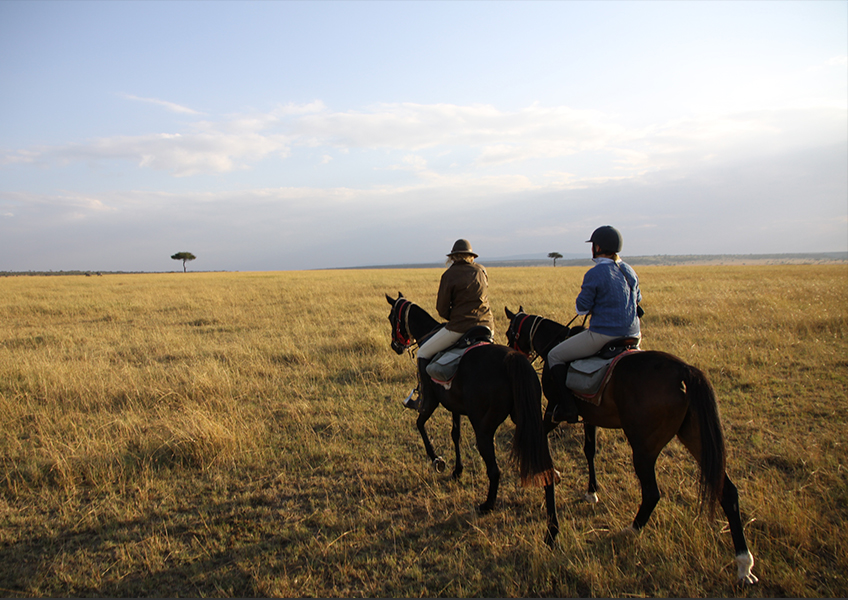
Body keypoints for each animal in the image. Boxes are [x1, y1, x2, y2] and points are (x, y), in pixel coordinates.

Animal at [386, 293, 560, 545]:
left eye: (391, 317)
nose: (395, 345)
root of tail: (512, 359)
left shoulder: (431, 401)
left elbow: (420, 425)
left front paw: (437, 460)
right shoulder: (455, 407)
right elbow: (455, 434)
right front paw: (457, 470)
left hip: (483, 428)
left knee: (494, 470)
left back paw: (487, 505)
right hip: (531, 423)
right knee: (545, 468)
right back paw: (552, 530)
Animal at [504, 307, 758, 584]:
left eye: (509, 332)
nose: (513, 354)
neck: (555, 342)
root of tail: (685, 372)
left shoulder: (554, 411)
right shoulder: (590, 416)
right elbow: (589, 451)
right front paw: (591, 491)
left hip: (644, 449)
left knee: (652, 493)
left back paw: (631, 530)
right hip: (696, 438)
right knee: (727, 491)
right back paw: (743, 563)